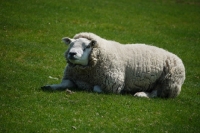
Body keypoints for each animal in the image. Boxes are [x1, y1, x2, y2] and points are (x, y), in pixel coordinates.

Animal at [41, 32, 186, 98]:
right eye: (70, 44)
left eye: (87, 46)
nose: (72, 54)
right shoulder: (71, 78)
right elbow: (63, 85)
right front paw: (49, 86)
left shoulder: (113, 84)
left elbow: (96, 88)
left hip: (168, 81)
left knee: (157, 93)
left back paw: (141, 94)